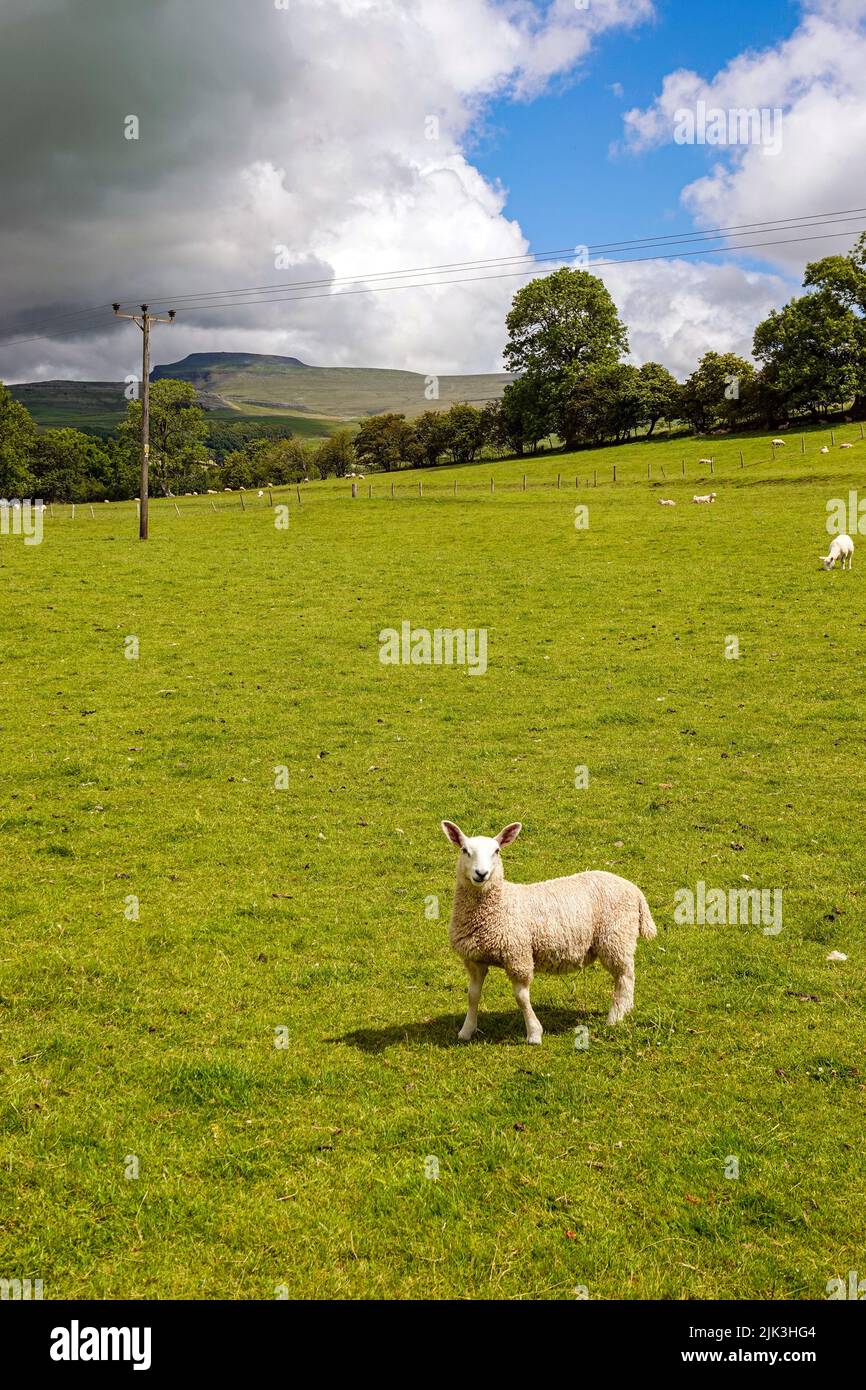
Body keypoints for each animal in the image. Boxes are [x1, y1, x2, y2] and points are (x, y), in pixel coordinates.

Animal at [439, 811, 656, 1045]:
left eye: (496, 851)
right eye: (465, 850)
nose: (481, 873)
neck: (499, 905)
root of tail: (634, 890)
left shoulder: (518, 956)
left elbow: (521, 997)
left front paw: (534, 1033)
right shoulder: (474, 960)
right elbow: (473, 995)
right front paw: (466, 1030)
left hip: (616, 937)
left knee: (624, 977)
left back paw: (615, 1018)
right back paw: (626, 1011)